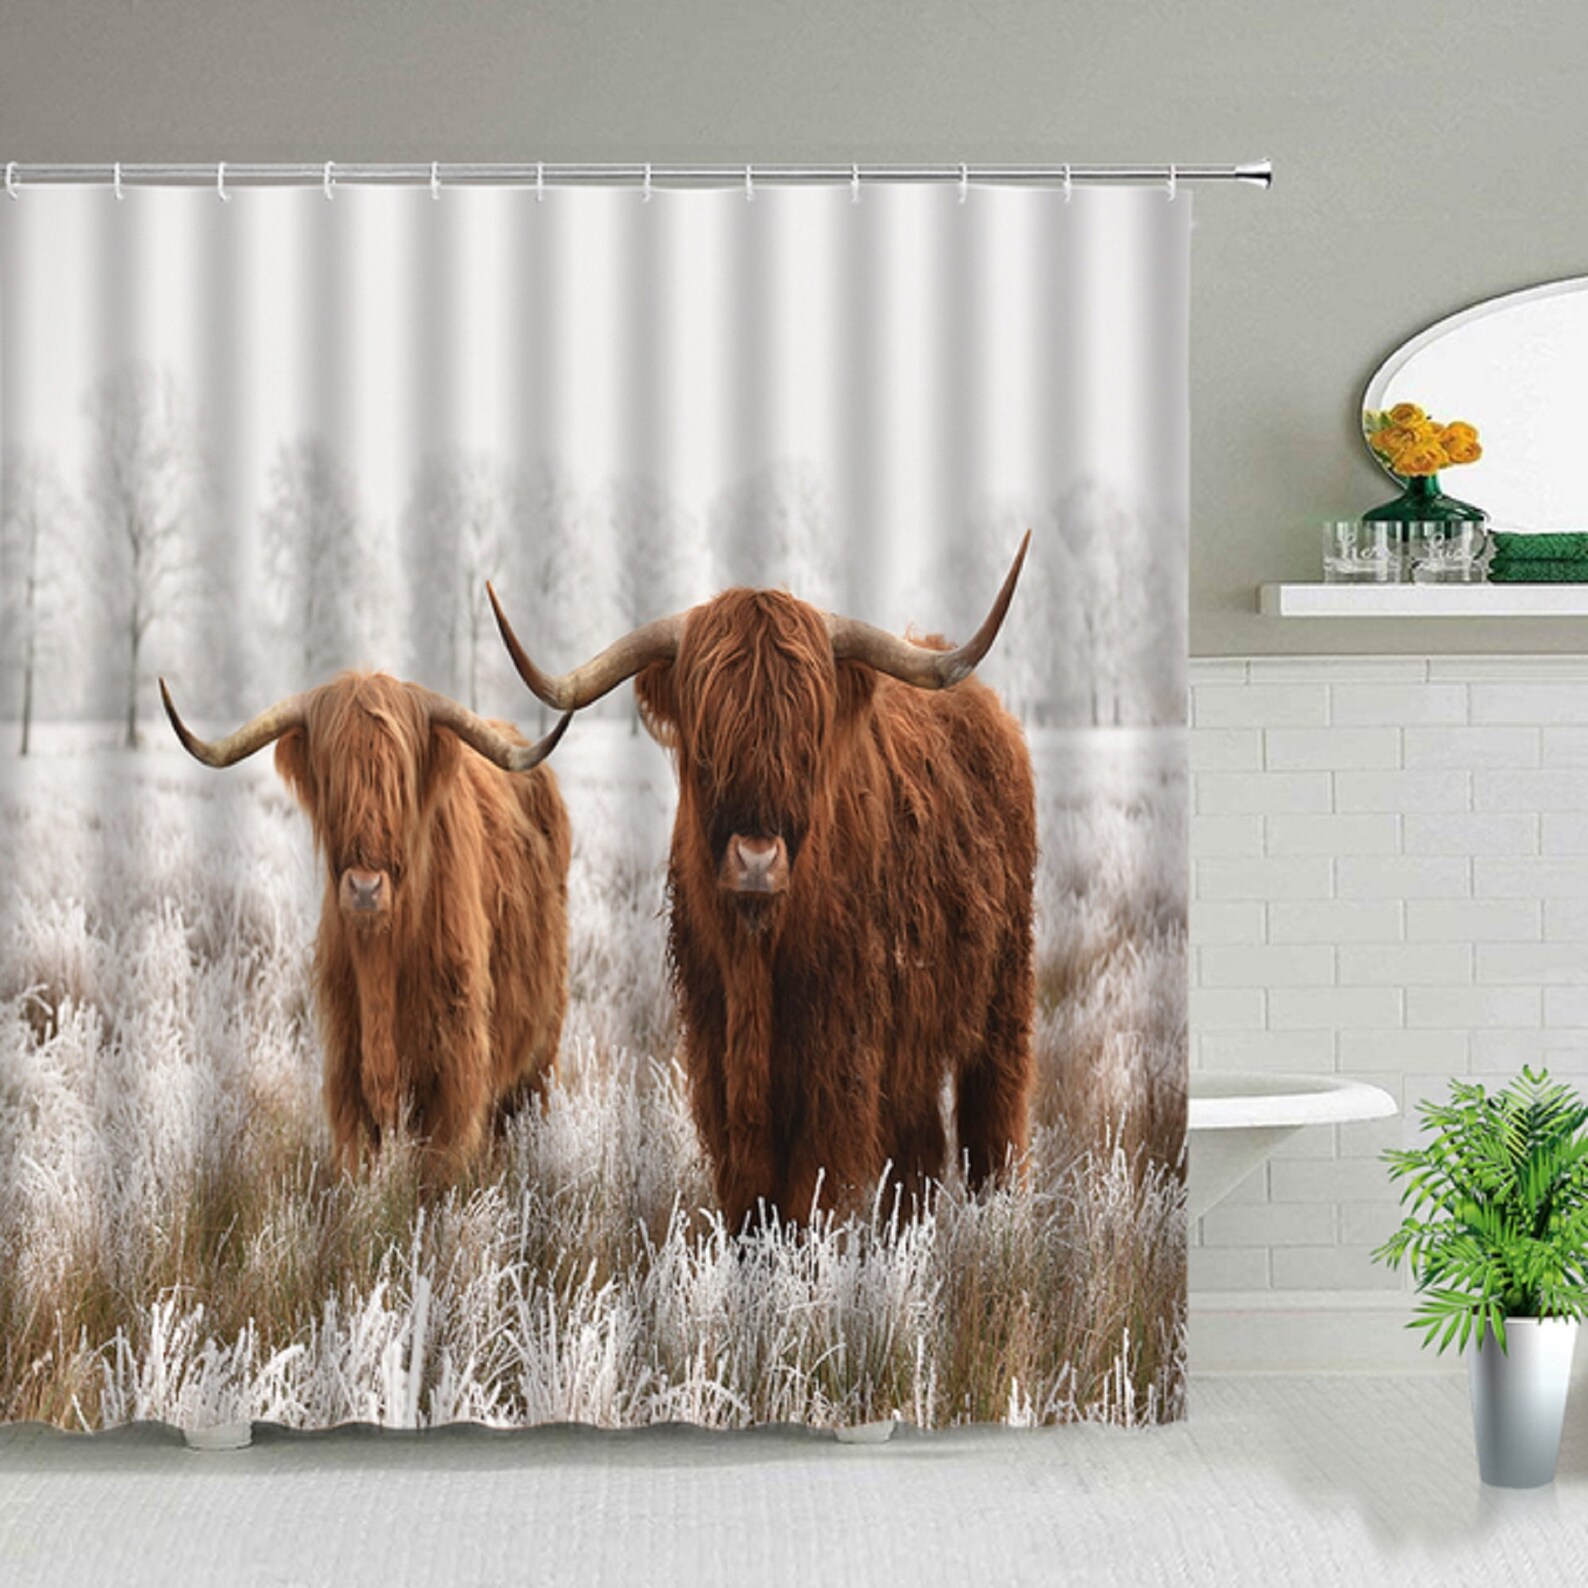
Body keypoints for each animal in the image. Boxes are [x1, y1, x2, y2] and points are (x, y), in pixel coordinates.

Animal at [160, 671, 573, 1175]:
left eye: (401, 780)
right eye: (331, 776)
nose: (364, 888)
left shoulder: (455, 1069)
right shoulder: (345, 1065)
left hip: (541, 1045)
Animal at [488, 534, 1036, 1229]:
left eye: (808, 743)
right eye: (706, 745)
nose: (755, 860)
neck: (756, 953)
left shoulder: (840, 1055)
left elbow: (810, 1191)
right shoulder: (715, 1050)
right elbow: (748, 1190)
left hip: (1004, 989)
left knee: (994, 1117)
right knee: (920, 1149)